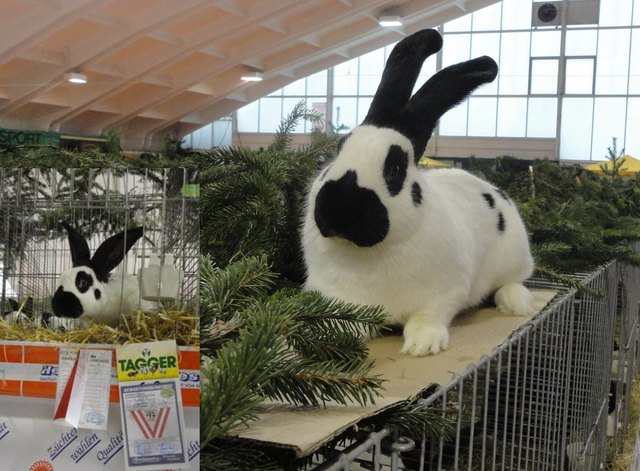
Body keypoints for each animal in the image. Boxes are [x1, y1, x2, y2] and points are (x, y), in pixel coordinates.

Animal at [302, 27, 532, 356]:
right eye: (338, 149)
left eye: (395, 168)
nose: (338, 208)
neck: (371, 252)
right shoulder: (339, 295)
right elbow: (345, 321)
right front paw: (332, 335)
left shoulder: (445, 293)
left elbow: (428, 316)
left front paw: (423, 345)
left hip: (516, 256)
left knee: (515, 280)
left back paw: (515, 303)